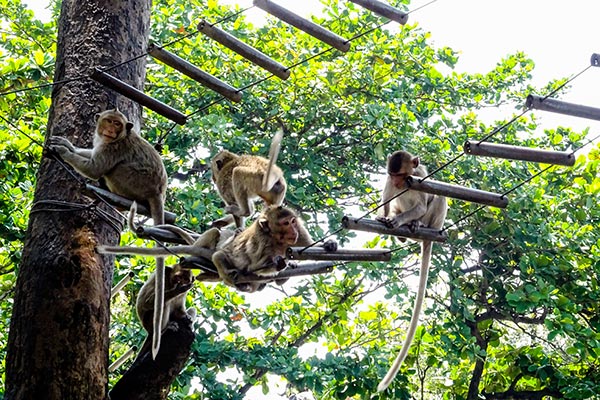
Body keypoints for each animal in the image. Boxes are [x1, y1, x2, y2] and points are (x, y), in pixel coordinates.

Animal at [47, 108, 168, 360]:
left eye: (117, 124)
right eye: (109, 121)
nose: (111, 130)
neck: (117, 138)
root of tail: (158, 191)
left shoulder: (114, 148)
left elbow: (95, 166)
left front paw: (64, 152)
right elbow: (91, 154)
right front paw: (67, 144)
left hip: (132, 181)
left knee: (113, 170)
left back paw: (108, 191)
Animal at [376, 150, 446, 390]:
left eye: (402, 175)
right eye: (392, 175)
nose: (398, 183)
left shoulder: (420, 177)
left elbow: (423, 203)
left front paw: (397, 221)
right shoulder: (388, 181)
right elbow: (386, 202)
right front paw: (386, 217)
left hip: (434, 222)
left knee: (439, 197)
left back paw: (418, 225)